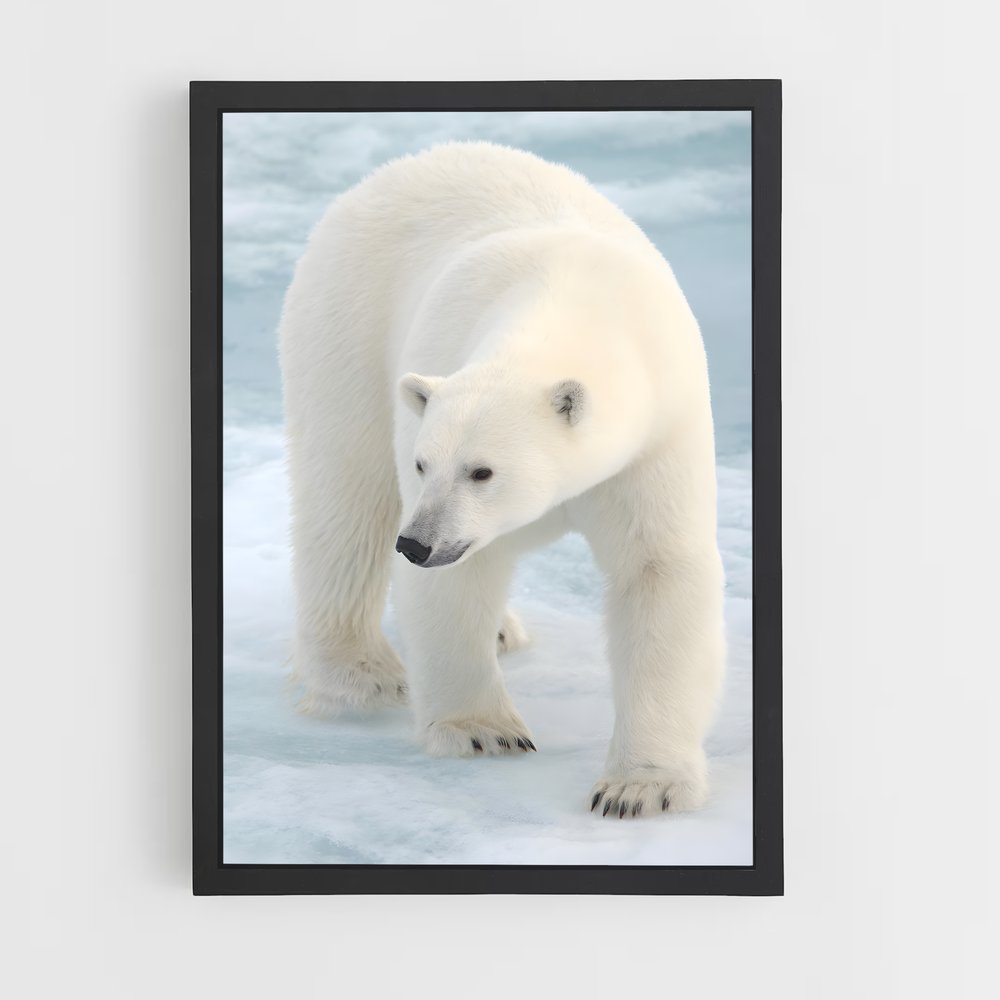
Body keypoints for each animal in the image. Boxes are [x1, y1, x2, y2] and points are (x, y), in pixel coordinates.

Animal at [279, 141, 726, 818]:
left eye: (482, 470)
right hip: (346, 322)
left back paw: (500, 629)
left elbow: (659, 569)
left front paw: (637, 787)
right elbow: (457, 581)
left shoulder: (656, 436)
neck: (573, 303)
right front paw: (484, 731)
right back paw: (360, 674)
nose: (417, 544)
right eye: (423, 464)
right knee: (347, 495)